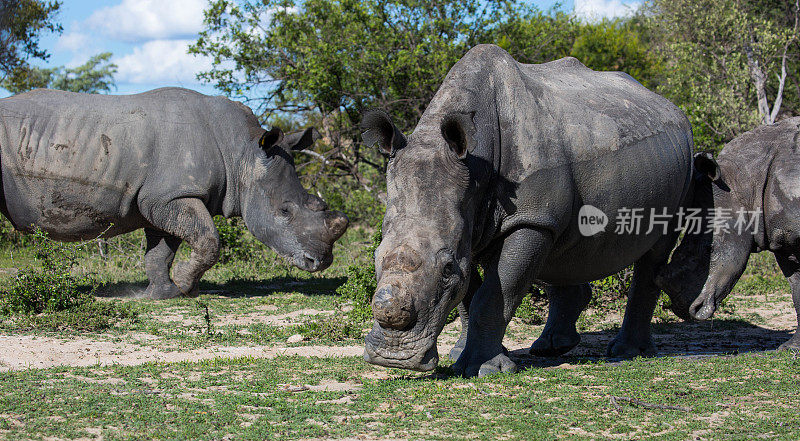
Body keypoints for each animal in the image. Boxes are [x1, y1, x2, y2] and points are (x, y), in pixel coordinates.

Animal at [1, 87, 348, 298]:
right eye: (285, 211)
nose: (320, 262)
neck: (242, 153)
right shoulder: (170, 197)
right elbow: (208, 240)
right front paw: (184, 285)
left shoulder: (161, 199)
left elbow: (161, 251)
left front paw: (162, 293)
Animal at [362, 43, 692, 374]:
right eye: (376, 257)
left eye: (446, 269)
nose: (393, 358)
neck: (474, 166)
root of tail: (671, 106)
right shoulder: (472, 222)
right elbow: (469, 294)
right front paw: (459, 357)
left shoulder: (529, 218)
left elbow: (493, 294)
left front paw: (484, 369)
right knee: (562, 248)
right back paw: (552, 348)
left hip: (680, 161)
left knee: (655, 251)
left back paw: (628, 352)